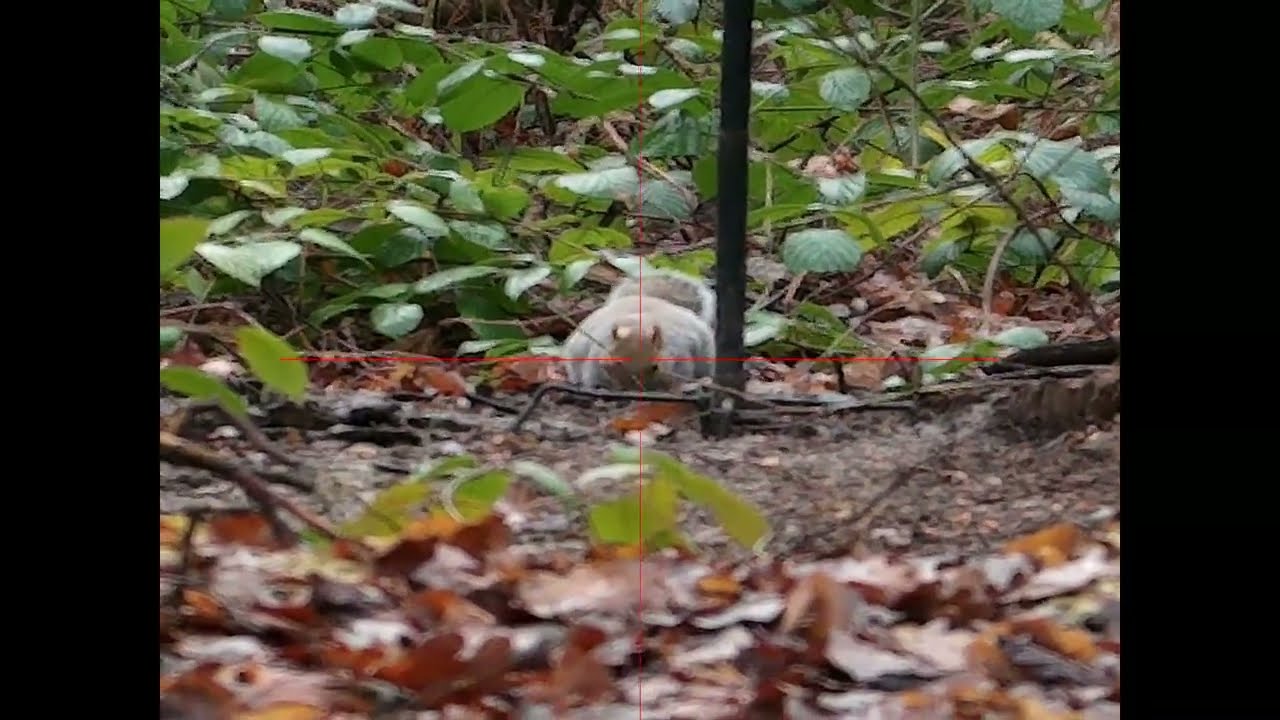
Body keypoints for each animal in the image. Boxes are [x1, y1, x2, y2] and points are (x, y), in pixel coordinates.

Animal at [562, 269, 716, 391]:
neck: (638, 324)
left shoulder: (679, 351)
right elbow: (592, 375)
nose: (637, 388)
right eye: (617, 362)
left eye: (655, 367)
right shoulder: (598, 354)